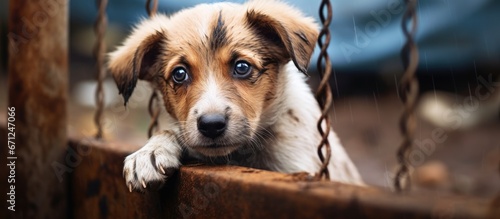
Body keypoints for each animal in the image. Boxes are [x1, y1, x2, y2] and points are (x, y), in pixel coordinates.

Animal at [108, 0, 364, 192]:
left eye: (242, 67)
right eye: (179, 74)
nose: (211, 125)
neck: (241, 155)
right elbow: (173, 132)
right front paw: (149, 153)